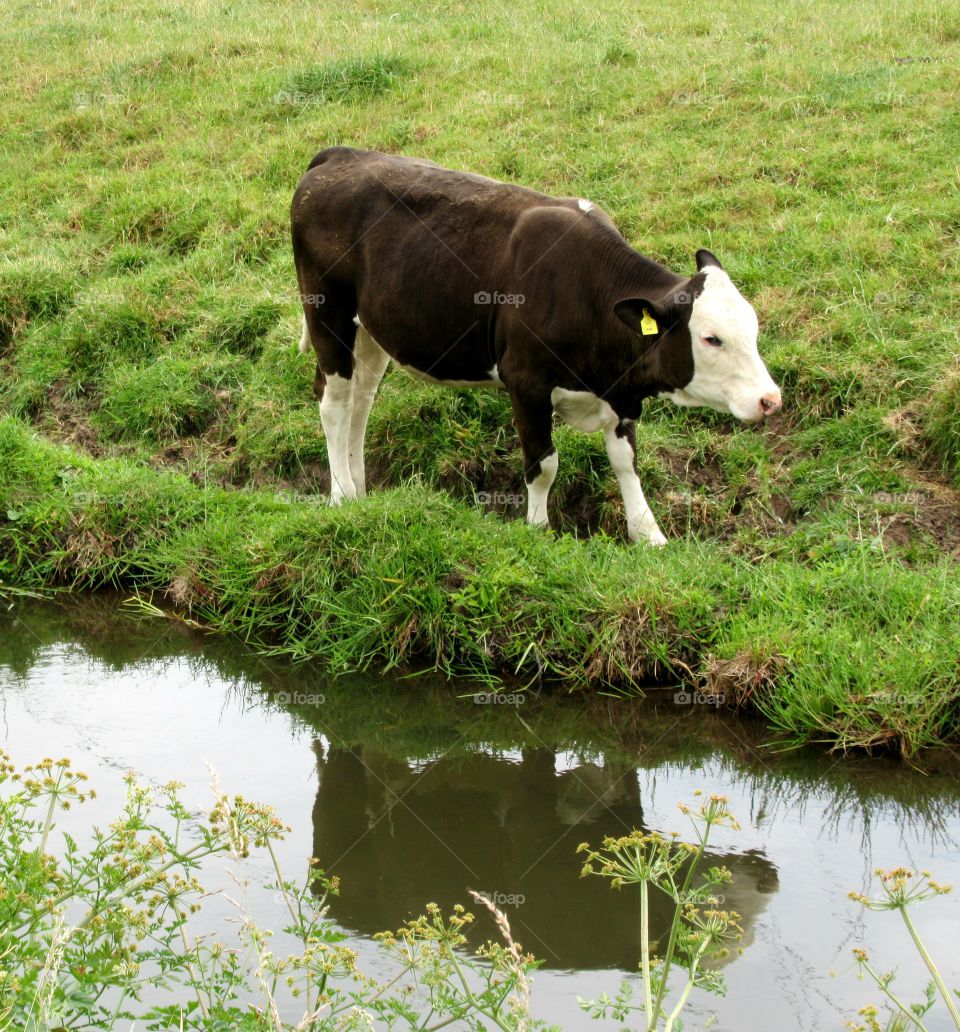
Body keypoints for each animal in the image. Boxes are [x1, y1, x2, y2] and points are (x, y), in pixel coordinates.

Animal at [291, 150, 776, 549]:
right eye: (711, 338)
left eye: (753, 327)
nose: (771, 399)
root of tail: (339, 155)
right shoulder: (525, 381)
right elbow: (543, 465)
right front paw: (539, 529)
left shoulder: (619, 391)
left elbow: (626, 461)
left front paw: (648, 534)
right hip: (327, 313)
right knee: (334, 402)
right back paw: (341, 495)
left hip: (370, 330)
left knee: (361, 401)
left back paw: (359, 489)